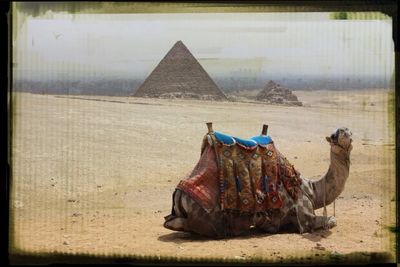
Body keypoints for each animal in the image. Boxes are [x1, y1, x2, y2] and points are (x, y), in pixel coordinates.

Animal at [164, 125, 352, 239]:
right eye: (334, 136)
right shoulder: (305, 217)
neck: (311, 189)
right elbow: (331, 220)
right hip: (209, 218)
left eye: (349, 133)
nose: (344, 131)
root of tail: (179, 193)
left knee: (171, 221)